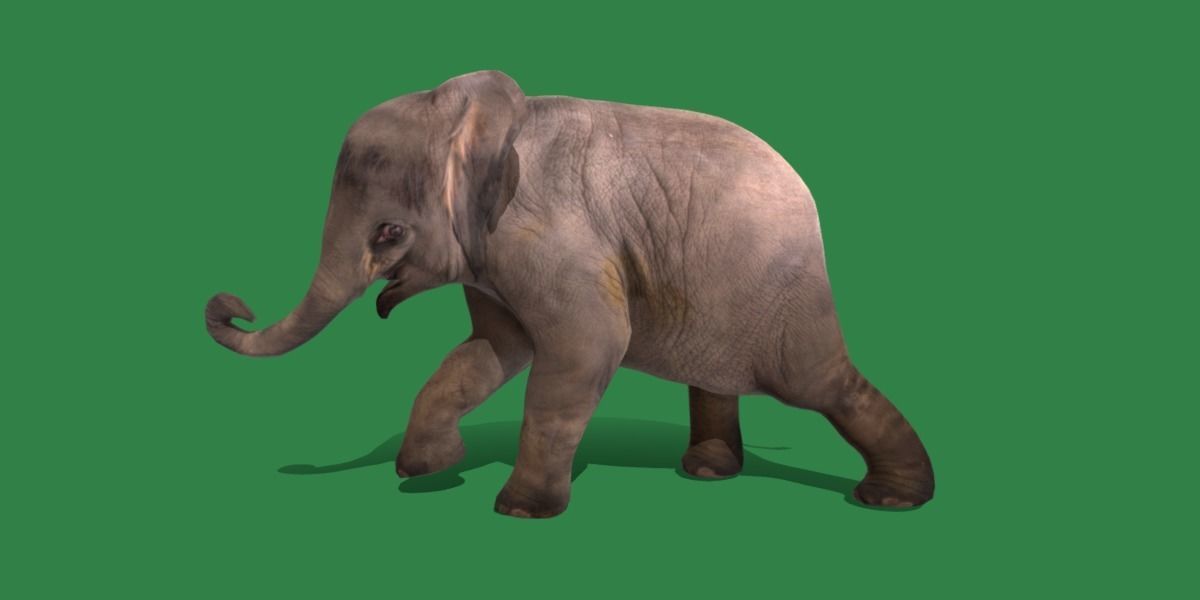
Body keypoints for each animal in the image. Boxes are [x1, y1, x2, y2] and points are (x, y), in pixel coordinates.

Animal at [205, 70, 934, 518]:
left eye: (388, 233)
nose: (232, 305)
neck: (474, 114)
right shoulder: (494, 253)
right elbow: (492, 349)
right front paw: (422, 470)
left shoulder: (548, 233)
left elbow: (588, 347)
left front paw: (518, 509)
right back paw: (705, 471)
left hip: (780, 288)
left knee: (816, 382)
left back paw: (892, 499)